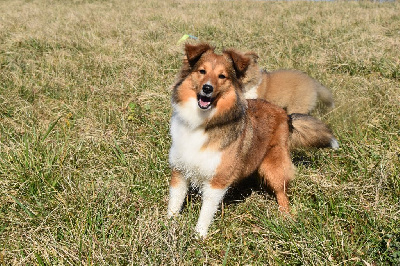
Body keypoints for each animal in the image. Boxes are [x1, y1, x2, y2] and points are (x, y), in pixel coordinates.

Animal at [167, 42, 340, 238]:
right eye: (202, 71)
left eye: (222, 76)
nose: (207, 88)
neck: (202, 122)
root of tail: (285, 114)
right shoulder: (180, 171)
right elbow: (174, 203)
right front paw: (168, 226)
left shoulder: (217, 180)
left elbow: (206, 211)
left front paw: (199, 236)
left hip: (273, 165)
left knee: (282, 193)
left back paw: (285, 218)